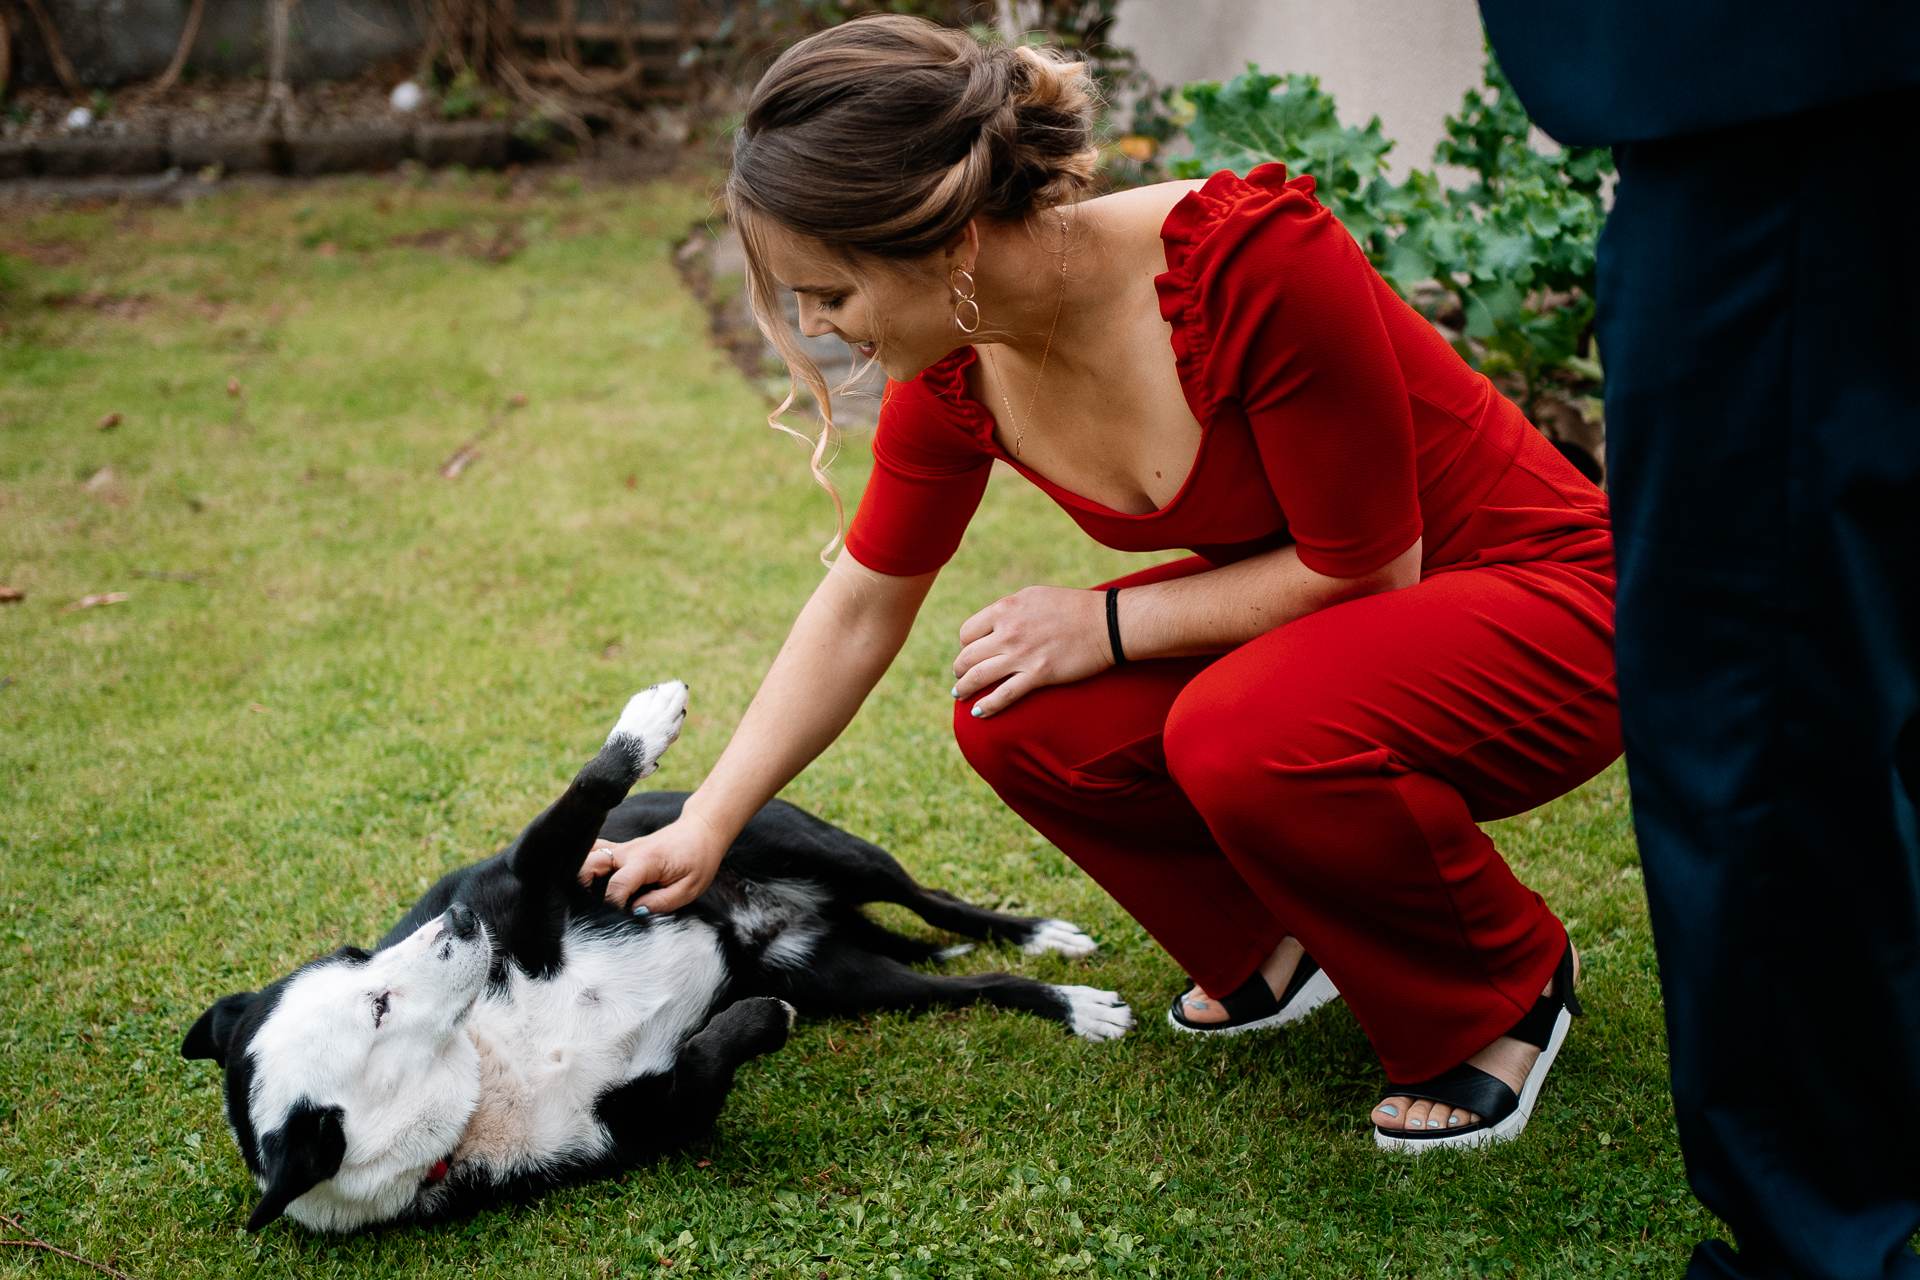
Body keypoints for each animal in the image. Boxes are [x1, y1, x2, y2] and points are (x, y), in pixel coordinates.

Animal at [180, 687, 1121, 1235]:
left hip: (820, 846)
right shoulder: (651, 1122)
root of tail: (788, 916)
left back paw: (1045, 941)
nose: (459, 916)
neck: (484, 1067)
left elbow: (575, 804)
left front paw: (645, 718)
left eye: (354, 955)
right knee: (976, 986)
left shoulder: (533, 886)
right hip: (854, 982)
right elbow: (703, 1068)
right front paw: (754, 1020)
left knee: (940, 905)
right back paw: (1070, 1002)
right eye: (377, 1008)